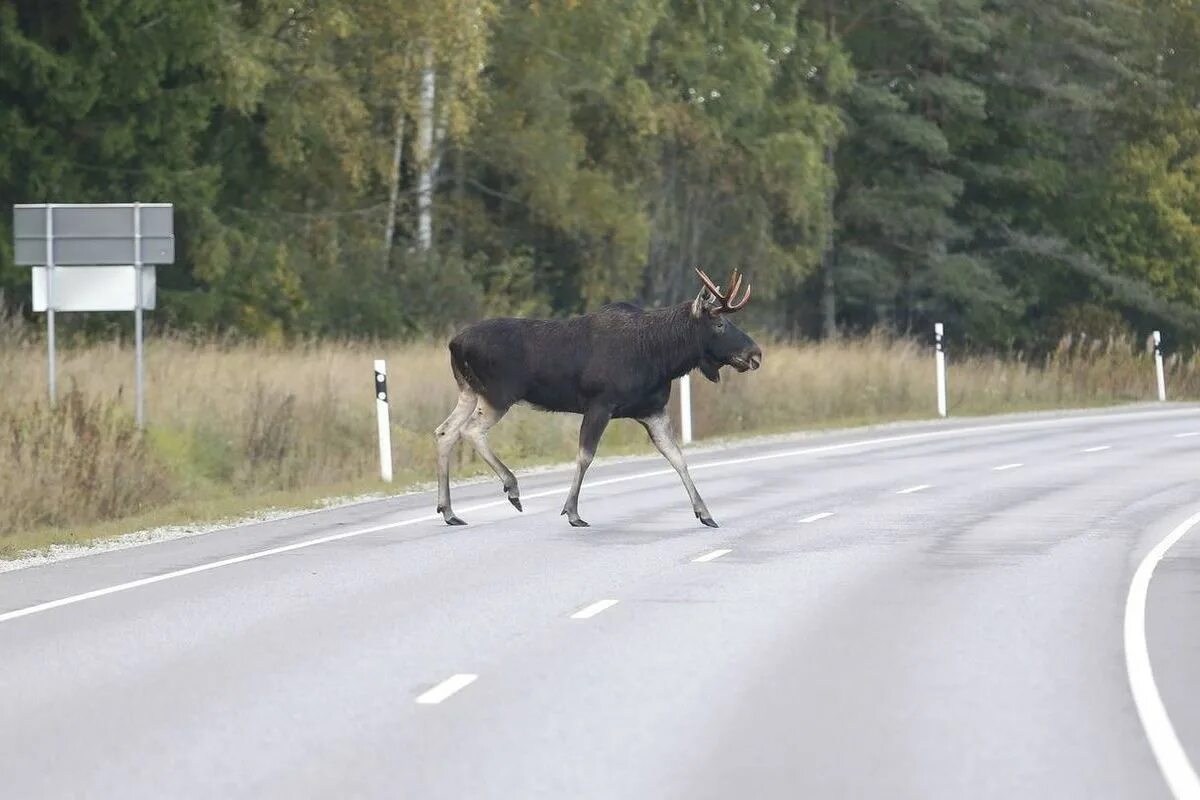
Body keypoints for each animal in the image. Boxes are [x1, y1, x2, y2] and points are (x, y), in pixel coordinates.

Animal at [436, 268, 763, 527]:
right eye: (719, 324)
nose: (755, 354)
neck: (662, 357)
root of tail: (454, 343)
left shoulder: (652, 410)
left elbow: (677, 457)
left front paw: (705, 513)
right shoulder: (600, 404)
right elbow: (585, 455)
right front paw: (572, 512)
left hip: (469, 392)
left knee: (445, 431)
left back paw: (449, 511)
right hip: (498, 395)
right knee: (470, 431)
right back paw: (511, 488)